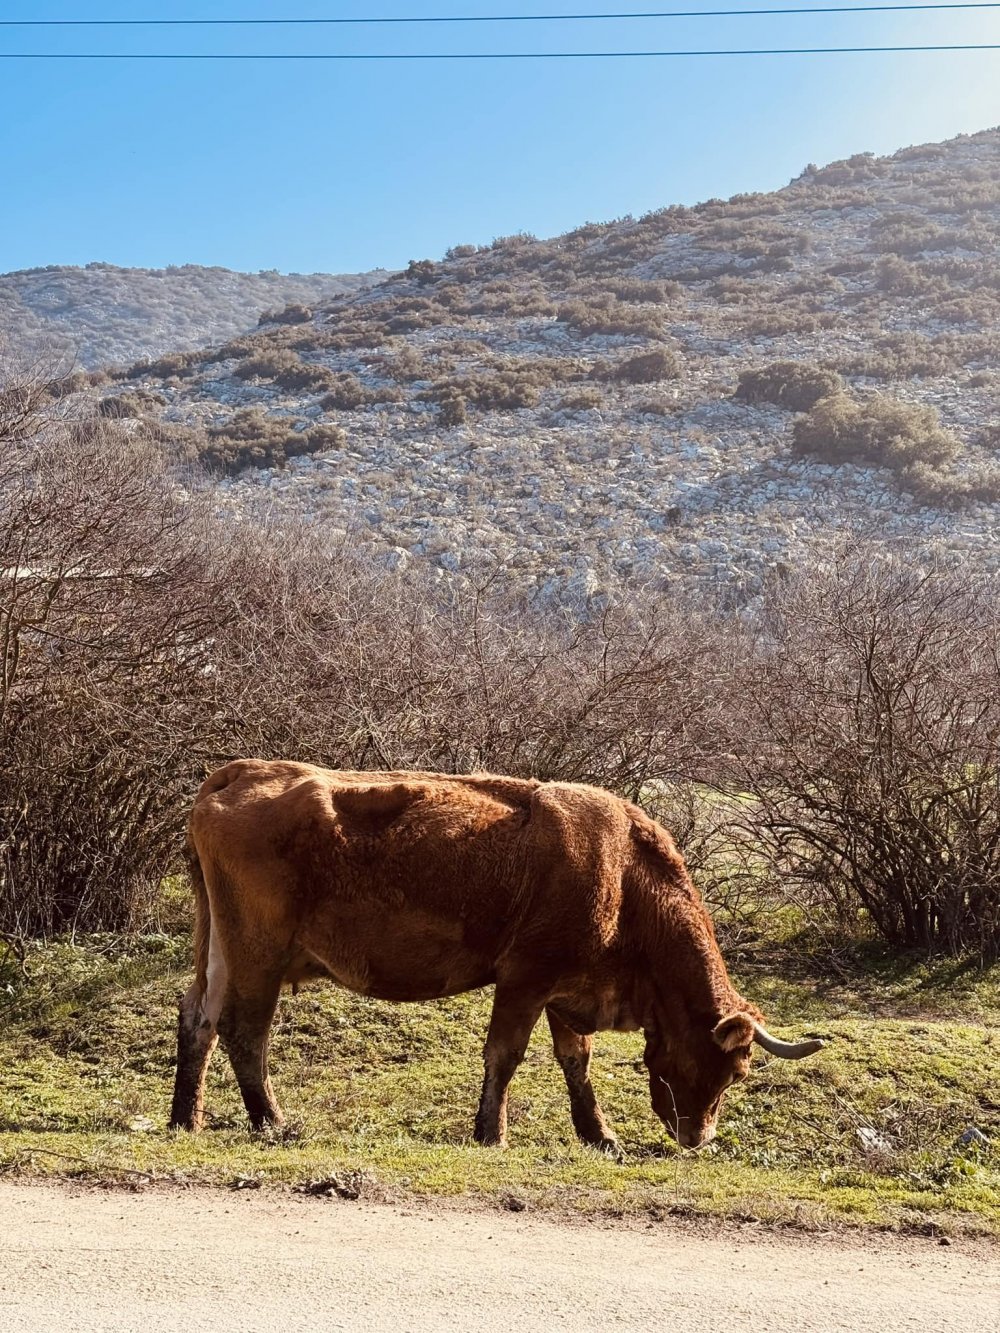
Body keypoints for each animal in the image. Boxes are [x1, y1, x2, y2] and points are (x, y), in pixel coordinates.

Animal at [168, 757, 821, 1151]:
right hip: (258, 956)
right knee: (245, 1033)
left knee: (198, 1020)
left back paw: (185, 1118)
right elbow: (504, 1056)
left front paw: (598, 1134)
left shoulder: (566, 990)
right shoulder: (525, 980)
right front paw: (491, 1132)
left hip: (220, 952)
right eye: (728, 1068)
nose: (699, 1138)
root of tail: (242, 772)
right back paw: (272, 1122)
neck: (625, 875)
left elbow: (576, 1062)